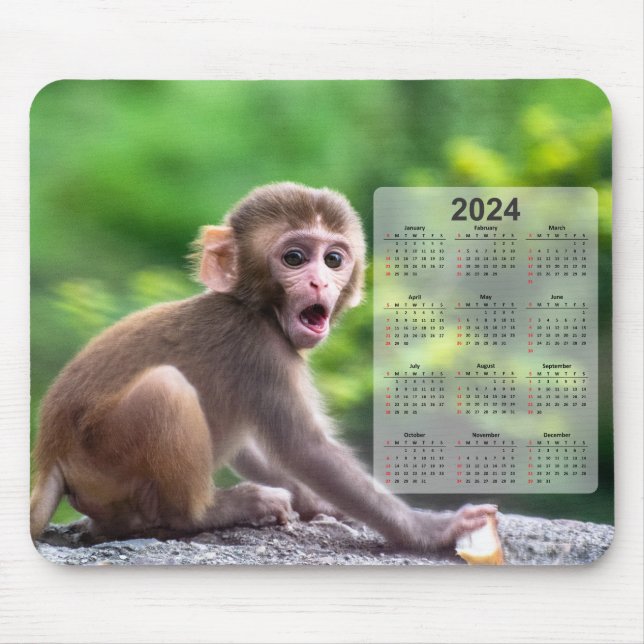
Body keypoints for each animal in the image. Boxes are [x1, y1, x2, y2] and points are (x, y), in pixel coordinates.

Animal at [30, 182, 496, 552]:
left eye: (333, 260)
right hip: (104, 453)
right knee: (167, 388)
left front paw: (316, 502)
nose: (319, 282)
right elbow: (304, 448)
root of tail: (52, 455)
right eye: (294, 258)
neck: (255, 309)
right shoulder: (260, 349)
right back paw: (209, 512)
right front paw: (431, 530)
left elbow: (256, 448)